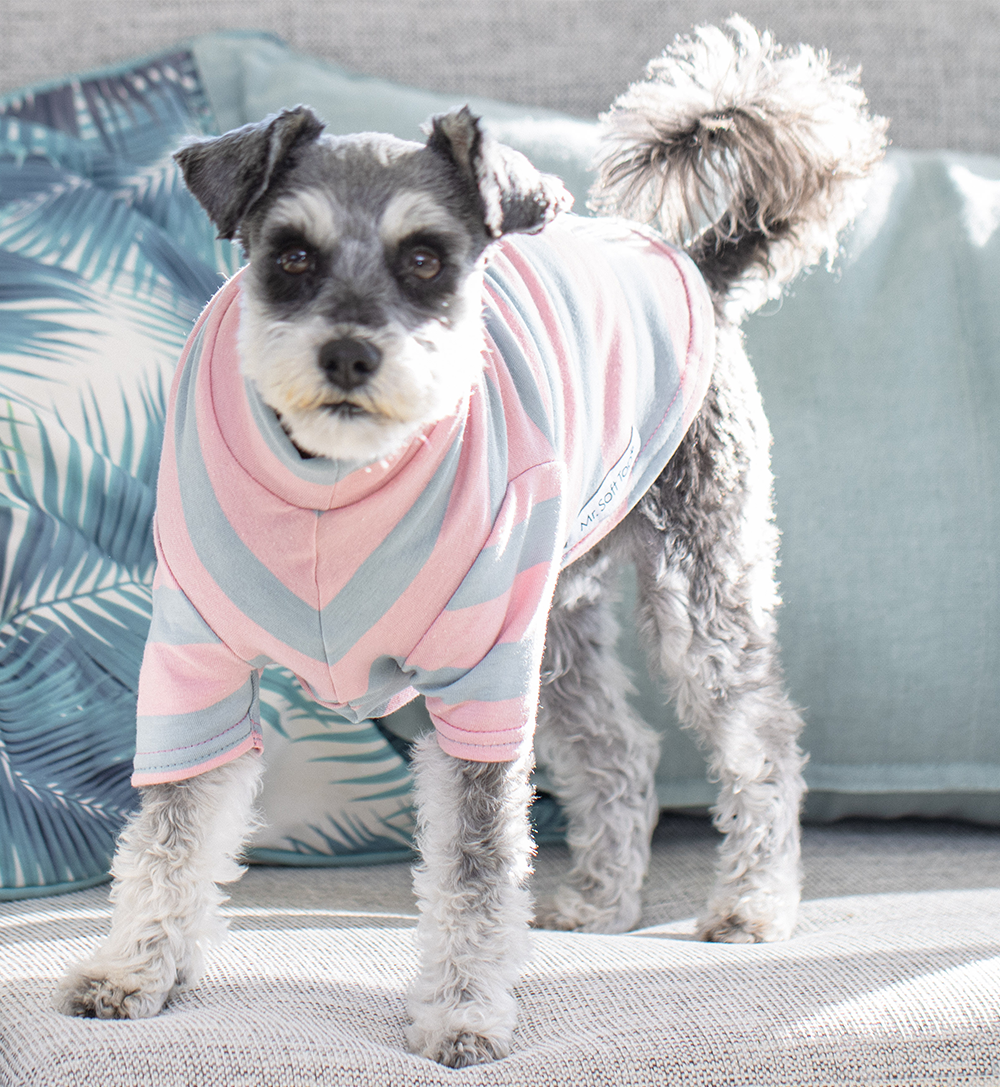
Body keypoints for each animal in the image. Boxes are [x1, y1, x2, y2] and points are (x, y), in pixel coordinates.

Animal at [54, 16, 886, 1069]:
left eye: (425, 259)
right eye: (289, 254)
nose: (349, 354)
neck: (336, 481)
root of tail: (700, 265)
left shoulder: (480, 691)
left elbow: (475, 866)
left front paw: (460, 1012)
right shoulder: (194, 666)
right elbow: (172, 833)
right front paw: (135, 969)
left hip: (697, 597)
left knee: (761, 739)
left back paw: (752, 903)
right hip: (556, 629)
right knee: (623, 752)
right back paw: (603, 900)